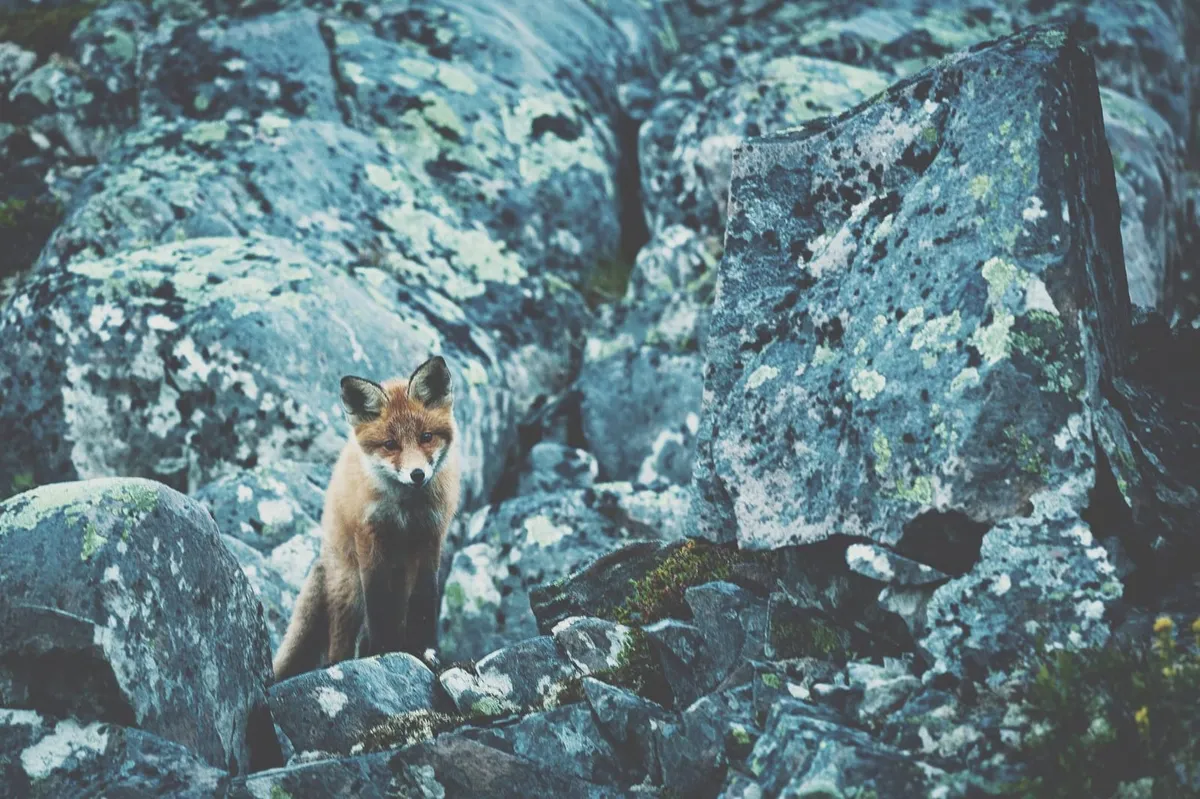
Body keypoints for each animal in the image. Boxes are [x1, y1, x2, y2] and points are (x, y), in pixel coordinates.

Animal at [272, 356, 461, 682]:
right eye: (390, 444)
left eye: (426, 437)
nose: (417, 475)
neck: (405, 511)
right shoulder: (370, 538)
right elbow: (378, 604)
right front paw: (382, 652)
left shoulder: (431, 536)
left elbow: (426, 600)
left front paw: (424, 651)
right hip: (349, 592)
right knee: (337, 648)